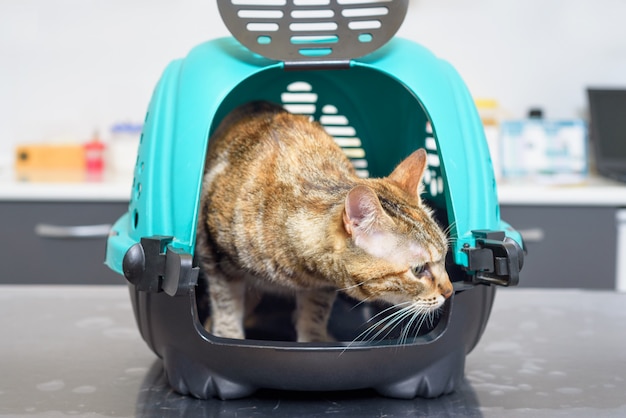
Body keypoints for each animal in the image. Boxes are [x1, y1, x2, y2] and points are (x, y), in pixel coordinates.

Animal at [193, 101, 450, 342]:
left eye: (445, 256)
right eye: (418, 269)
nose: (449, 292)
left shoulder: (322, 287)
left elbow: (313, 315)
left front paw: (313, 340)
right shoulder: (212, 255)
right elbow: (226, 306)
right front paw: (228, 335)